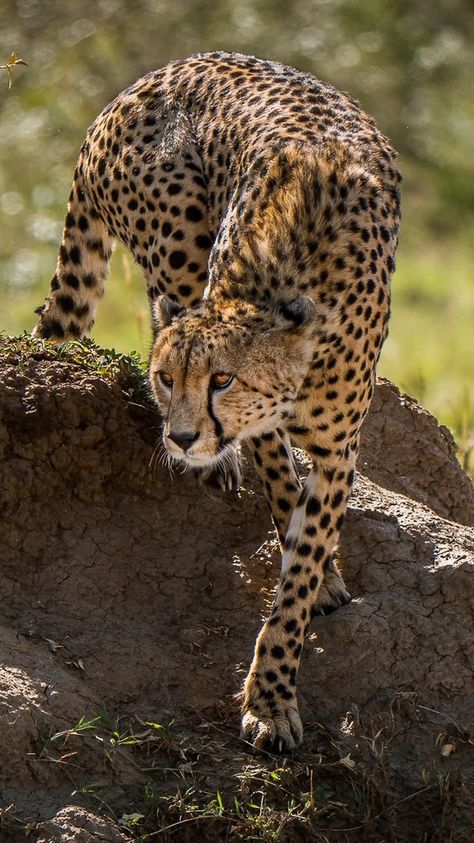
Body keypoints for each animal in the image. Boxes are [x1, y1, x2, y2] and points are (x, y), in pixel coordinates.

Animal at [34, 52, 400, 752]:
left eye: (222, 380)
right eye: (164, 379)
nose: (180, 438)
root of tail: (143, 81)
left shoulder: (339, 449)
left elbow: (303, 562)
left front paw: (274, 689)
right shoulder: (269, 429)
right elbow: (281, 483)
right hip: (177, 240)